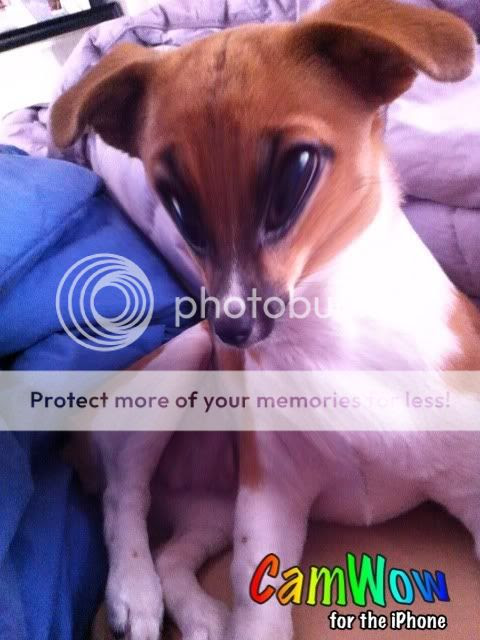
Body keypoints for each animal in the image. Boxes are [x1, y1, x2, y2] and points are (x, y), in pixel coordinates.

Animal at [51, 1, 480, 639]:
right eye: (175, 202)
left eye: (296, 171)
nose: (232, 330)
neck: (329, 338)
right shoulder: (269, 508)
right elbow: (256, 604)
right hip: (180, 364)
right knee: (125, 494)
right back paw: (134, 593)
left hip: (211, 511)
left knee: (173, 552)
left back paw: (203, 616)